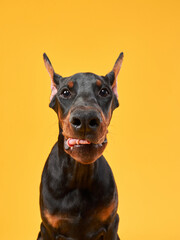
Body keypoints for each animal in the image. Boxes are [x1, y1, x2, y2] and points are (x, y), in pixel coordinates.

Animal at [36, 52, 124, 240]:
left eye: (104, 91)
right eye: (65, 92)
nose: (85, 119)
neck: (79, 175)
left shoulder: (112, 224)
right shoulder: (48, 229)